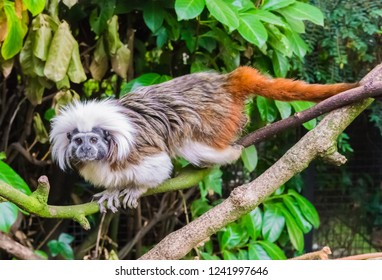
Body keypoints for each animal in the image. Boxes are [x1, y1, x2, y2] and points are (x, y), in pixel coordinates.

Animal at [49, 66, 356, 212]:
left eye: (93, 140)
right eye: (78, 142)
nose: (85, 150)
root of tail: (224, 82)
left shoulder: (137, 151)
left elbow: (158, 167)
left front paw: (136, 189)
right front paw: (113, 192)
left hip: (216, 119)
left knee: (189, 141)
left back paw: (228, 154)